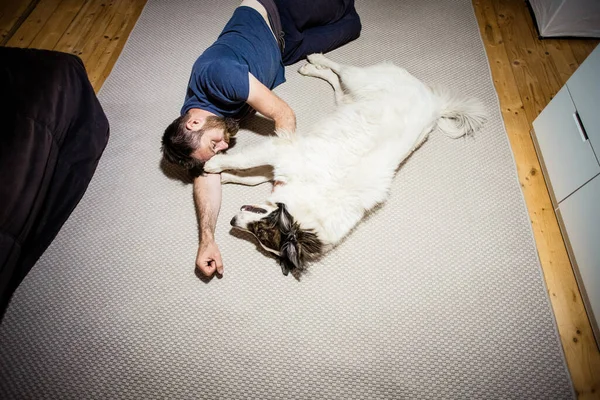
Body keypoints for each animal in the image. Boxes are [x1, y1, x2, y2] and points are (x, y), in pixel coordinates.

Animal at [204, 53, 486, 276]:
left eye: (260, 234)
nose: (231, 221)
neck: (308, 206)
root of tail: (435, 103)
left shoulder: (283, 156)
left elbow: (249, 172)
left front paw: (220, 172)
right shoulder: (282, 152)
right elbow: (245, 166)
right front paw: (216, 167)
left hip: (356, 93)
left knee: (338, 78)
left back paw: (314, 66)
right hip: (360, 82)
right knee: (339, 70)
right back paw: (315, 60)